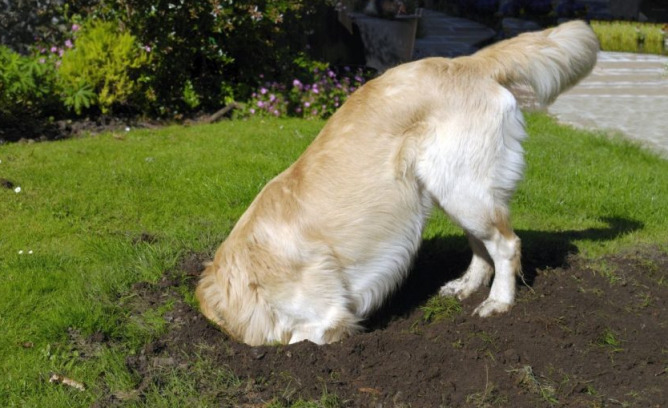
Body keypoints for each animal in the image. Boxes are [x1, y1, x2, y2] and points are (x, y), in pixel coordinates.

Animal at [196, 20, 596, 346]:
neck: (248, 270)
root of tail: (465, 62)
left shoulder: (328, 316)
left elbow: (306, 336)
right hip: (453, 189)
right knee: (482, 247)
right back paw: (466, 286)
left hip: (463, 188)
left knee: (507, 245)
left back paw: (498, 301)